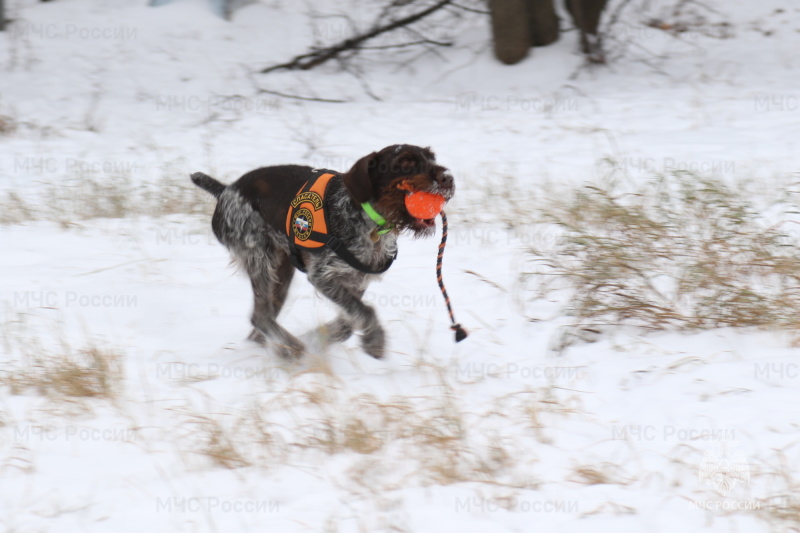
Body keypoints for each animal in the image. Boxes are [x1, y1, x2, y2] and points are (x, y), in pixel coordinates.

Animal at [193, 144, 454, 358]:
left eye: (432, 158)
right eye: (407, 162)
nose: (448, 178)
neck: (371, 222)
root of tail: (226, 190)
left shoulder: (357, 280)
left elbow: (350, 322)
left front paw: (320, 337)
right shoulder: (323, 276)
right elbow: (365, 312)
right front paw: (374, 341)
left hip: (282, 270)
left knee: (260, 322)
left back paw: (277, 348)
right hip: (260, 257)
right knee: (260, 316)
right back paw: (290, 349)